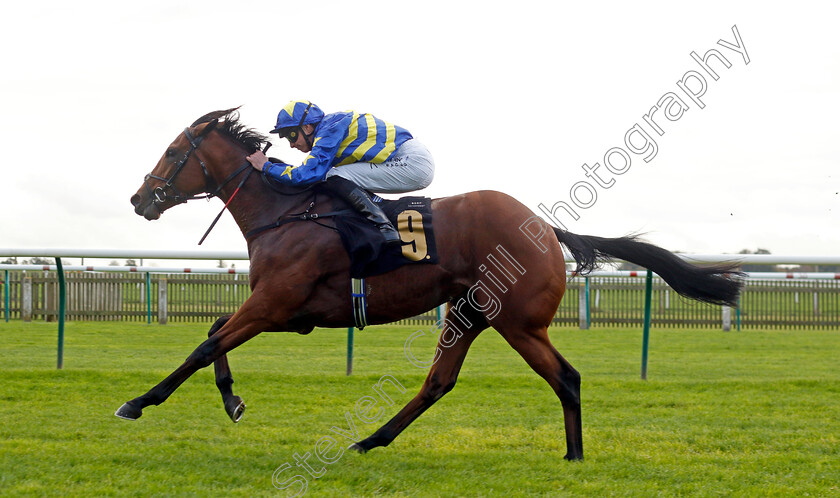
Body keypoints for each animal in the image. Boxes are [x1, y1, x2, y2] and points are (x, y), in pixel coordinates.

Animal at [120, 108, 740, 460]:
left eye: (173, 152)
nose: (139, 198)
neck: (286, 210)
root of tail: (545, 228)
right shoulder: (285, 310)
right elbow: (213, 332)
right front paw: (233, 400)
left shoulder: (276, 303)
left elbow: (203, 346)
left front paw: (138, 402)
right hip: (469, 313)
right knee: (439, 382)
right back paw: (371, 440)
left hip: (518, 321)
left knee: (565, 377)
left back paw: (575, 456)